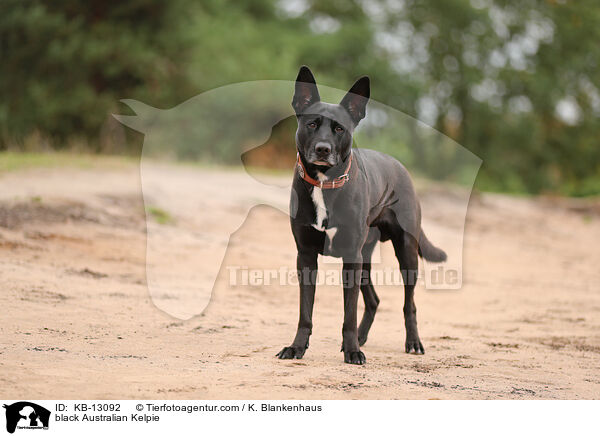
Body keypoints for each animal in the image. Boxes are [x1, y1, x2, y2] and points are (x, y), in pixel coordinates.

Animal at [276, 65, 446, 364]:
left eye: (339, 128)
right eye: (311, 124)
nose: (323, 149)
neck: (325, 183)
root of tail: (401, 168)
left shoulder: (350, 258)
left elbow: (349, 313)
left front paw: (353, 350)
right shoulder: (306, 256)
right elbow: (305, 311)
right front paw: (297, 347)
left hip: (405, 254)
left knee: (409, 304)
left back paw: (412, 342)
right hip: (365, 257)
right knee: (374, 300)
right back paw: (362, 338)